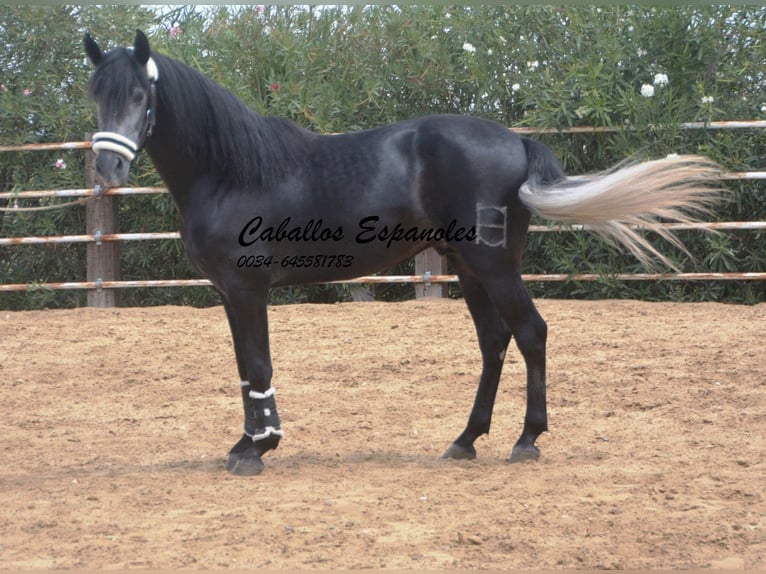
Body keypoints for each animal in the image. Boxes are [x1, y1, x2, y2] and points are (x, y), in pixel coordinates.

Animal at [85, 30, 720, 476]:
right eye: (96, 96)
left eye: (139, 95)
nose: (107, 167)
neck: (232, 172)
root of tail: (517, 141)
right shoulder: (227, 293)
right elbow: (245, 368)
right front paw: (248, 441)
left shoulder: (247, 288)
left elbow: (259, 365)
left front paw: (257, 450)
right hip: (468, 268)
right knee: (495, 341)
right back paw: (466, 440)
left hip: (494, 266)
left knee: (531, 332)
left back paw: (526, 440)